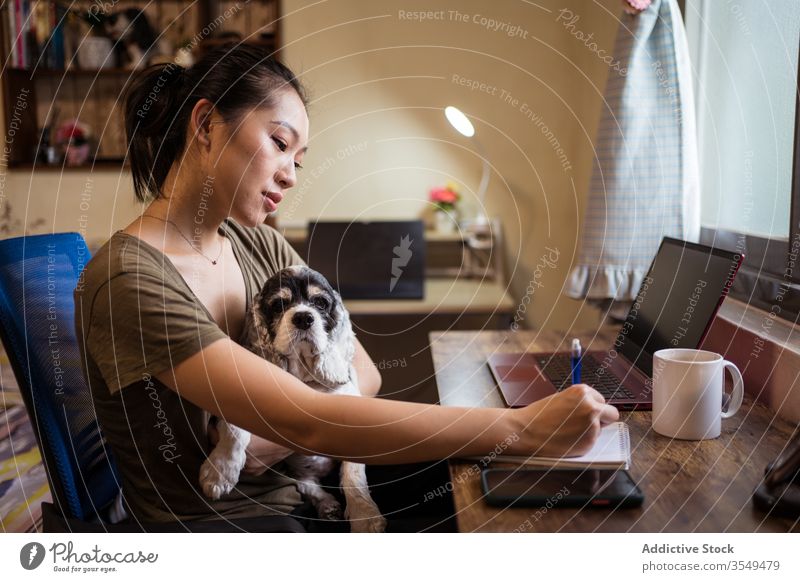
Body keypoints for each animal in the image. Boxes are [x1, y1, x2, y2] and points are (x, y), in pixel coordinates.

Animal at [199, 266, 388, 536]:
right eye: (279, 304)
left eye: (320, 303)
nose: (303, 318)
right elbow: (235, 429)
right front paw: (218, 474)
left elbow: (353, 475)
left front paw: (365, 518)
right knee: (307, 485)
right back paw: (327, 505)